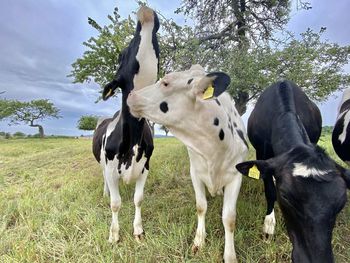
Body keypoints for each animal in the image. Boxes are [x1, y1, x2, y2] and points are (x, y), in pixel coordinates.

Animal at [92, 6, 159, 244]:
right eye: (122, 53)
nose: (145, 10)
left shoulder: (145, 166)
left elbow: (139, 199)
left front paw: (138, 230)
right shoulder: (111, 168)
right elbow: (115, 203)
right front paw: (114, 234)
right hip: (102, 163)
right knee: (103, 179)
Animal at [128, 64, 249, 263]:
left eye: (166, 82)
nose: (131, 94)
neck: (212, 148)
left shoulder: (236, 176)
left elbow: (229, 218)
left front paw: (230, 255)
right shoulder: (195, 172)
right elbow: (201, 206)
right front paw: (199, 240)